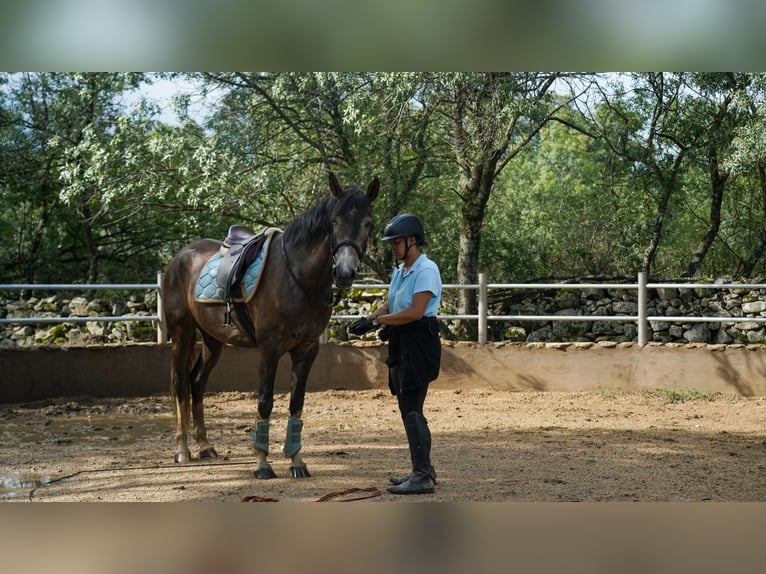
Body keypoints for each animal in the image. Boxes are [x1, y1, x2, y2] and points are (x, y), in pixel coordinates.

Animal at [163, 173, 380, 480]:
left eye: (368, 222)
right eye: (334, 221)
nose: (344, 273)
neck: (297, 277)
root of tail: (181, 257)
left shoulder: (306, 351)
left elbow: (296, 403)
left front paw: (297, 462)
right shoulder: (269, 349)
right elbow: (265, 401)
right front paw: (262, 464)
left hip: (212, 340)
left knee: (197, 382)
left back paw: (205, 446)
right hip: (182, 334)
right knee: (180, 384)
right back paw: (182, 450)